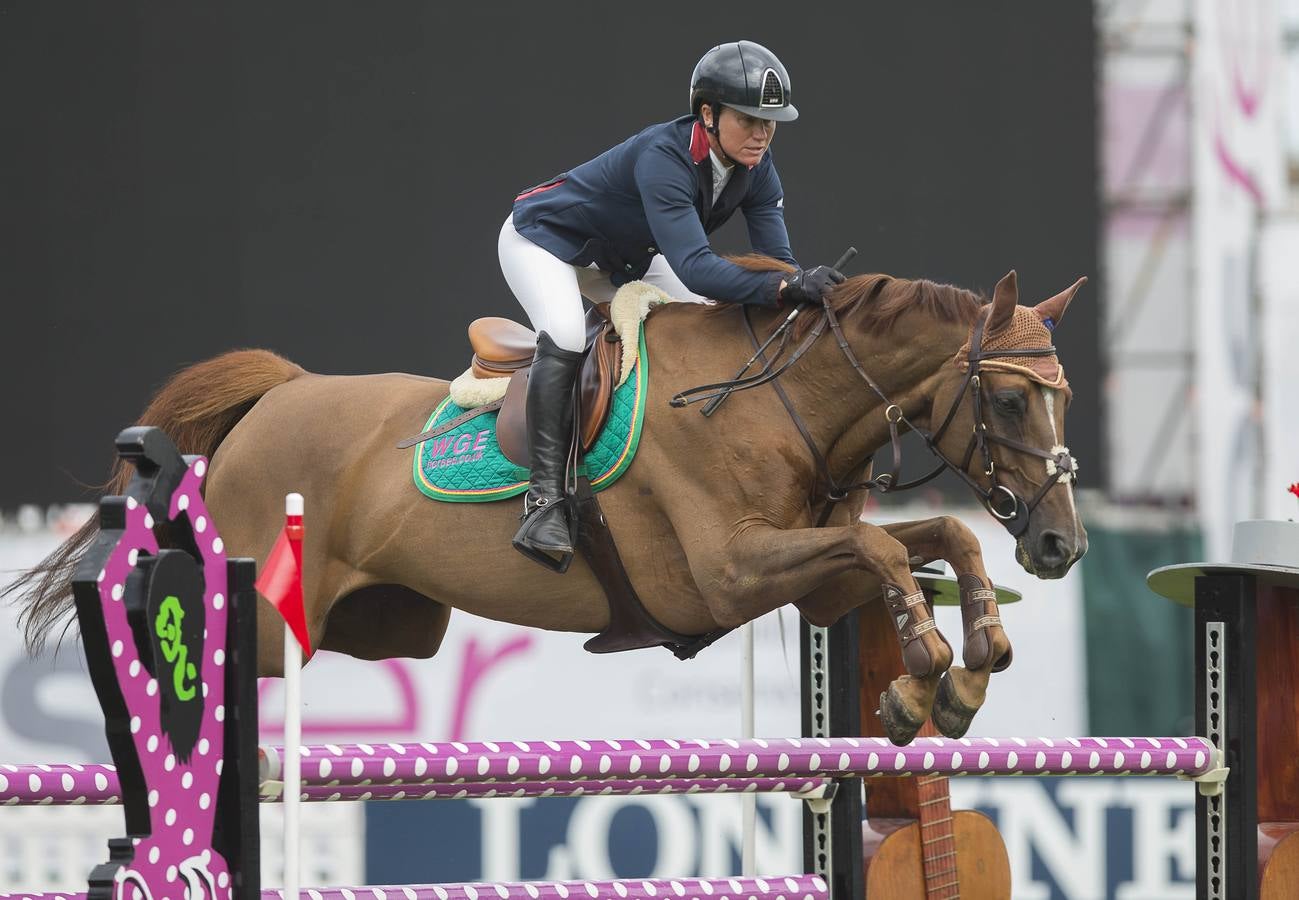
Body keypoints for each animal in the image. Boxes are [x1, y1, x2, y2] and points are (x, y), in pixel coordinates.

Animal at [7, 261, 1085, 742]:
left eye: (1062, 395)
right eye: (1007, 398)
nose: (1062, 546)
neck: (777, 401)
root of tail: (276, 394)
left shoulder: (808, 580)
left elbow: (933, 540)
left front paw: (958, 675)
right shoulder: (729, 574)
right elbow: (891, 552)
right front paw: (929, 672)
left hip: (386, 625)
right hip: (274, 618)